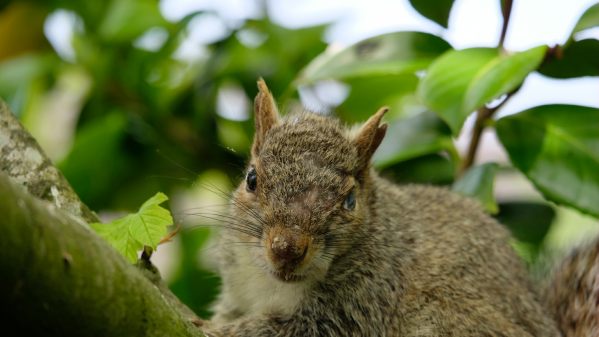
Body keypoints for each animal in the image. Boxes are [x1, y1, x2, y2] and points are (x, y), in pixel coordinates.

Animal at [203, 78, 599, 334]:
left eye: (350, 200)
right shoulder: (236, 286)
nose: (287, 249)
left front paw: (211, 330)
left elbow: (287, 328)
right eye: (252, 179)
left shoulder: (363, 300)